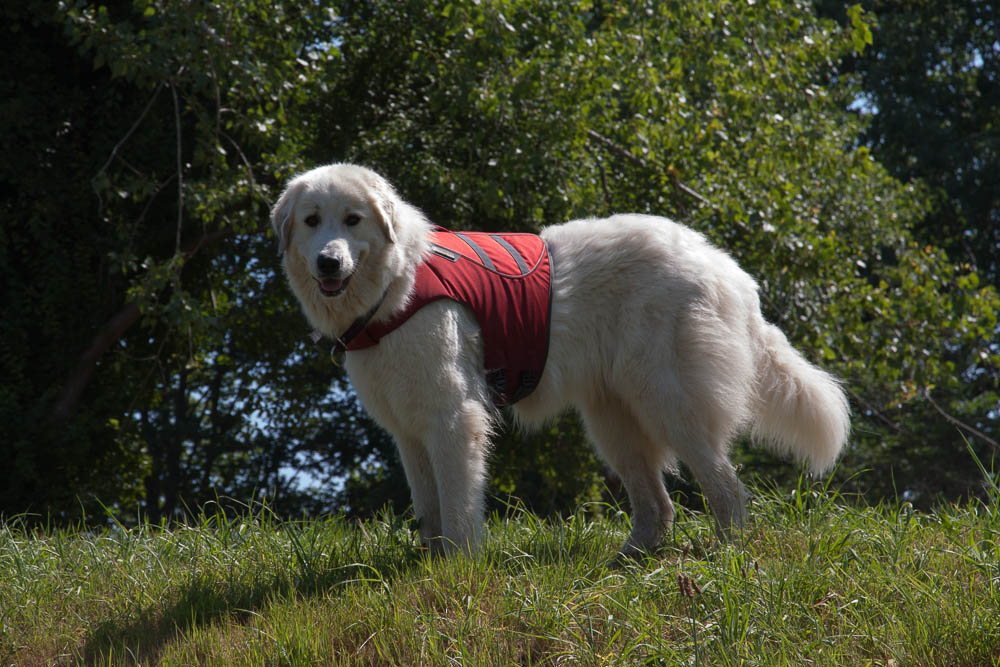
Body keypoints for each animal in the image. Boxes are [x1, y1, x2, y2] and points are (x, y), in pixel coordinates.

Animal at [276, 163, 852, 560]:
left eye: (352, 220)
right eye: (312, 221)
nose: (328, 262)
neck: (396, 288)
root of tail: (725, 267)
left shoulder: (453, 419)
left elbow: (458, 505)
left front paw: (457, 568)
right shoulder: (410, 432)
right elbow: (428, 509)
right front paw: (428, 565)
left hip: (670, 404)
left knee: (725, 487)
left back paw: (726, 554)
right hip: (613, 423)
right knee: (658, 504)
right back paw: (629, 560)